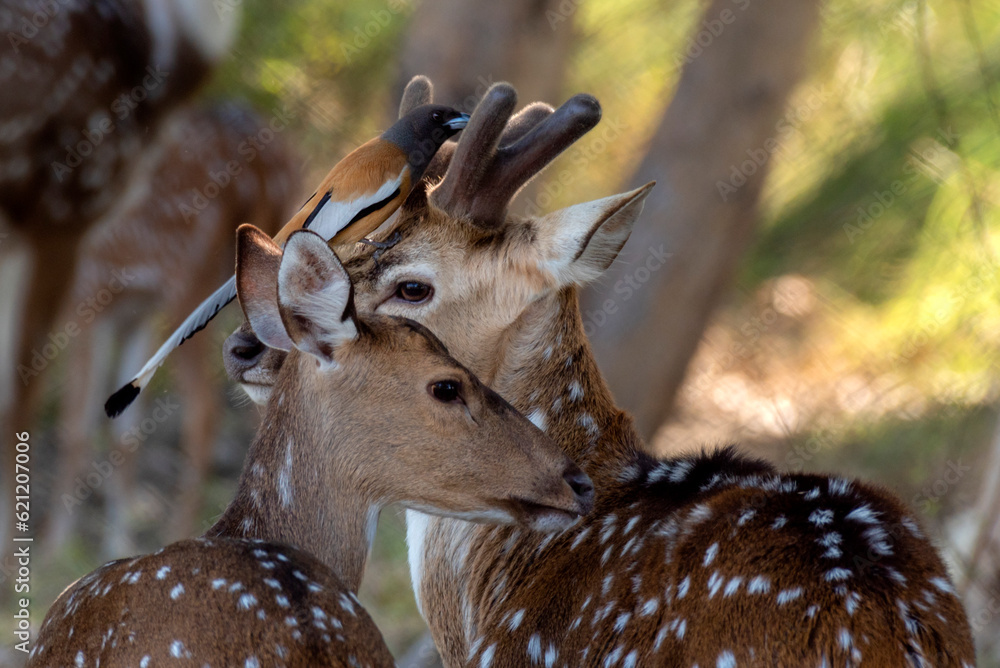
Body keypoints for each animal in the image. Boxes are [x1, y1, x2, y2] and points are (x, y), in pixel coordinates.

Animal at [40, 100, 301, 559]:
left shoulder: (86, 293)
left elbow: (75, 425)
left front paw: (53, 549)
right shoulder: (133, 311)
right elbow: (125, 431)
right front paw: (115, 542)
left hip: (191, 277)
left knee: (205, 413)